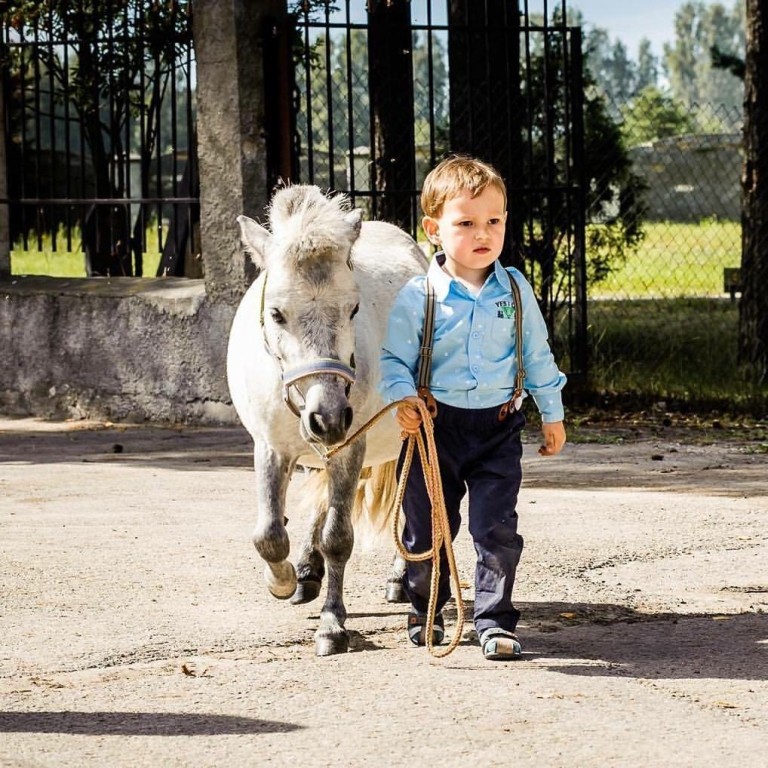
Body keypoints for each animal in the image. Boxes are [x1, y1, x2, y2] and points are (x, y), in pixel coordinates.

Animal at [228, 184, 432, 656]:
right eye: (277, 313)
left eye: (354, 308)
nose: (330, 415)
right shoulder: (271, 447)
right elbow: (269, 533)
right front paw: (282, 580)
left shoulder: (350, 446)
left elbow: (338, 536)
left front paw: (332, 624)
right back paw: (305, 573)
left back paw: (399, 577)